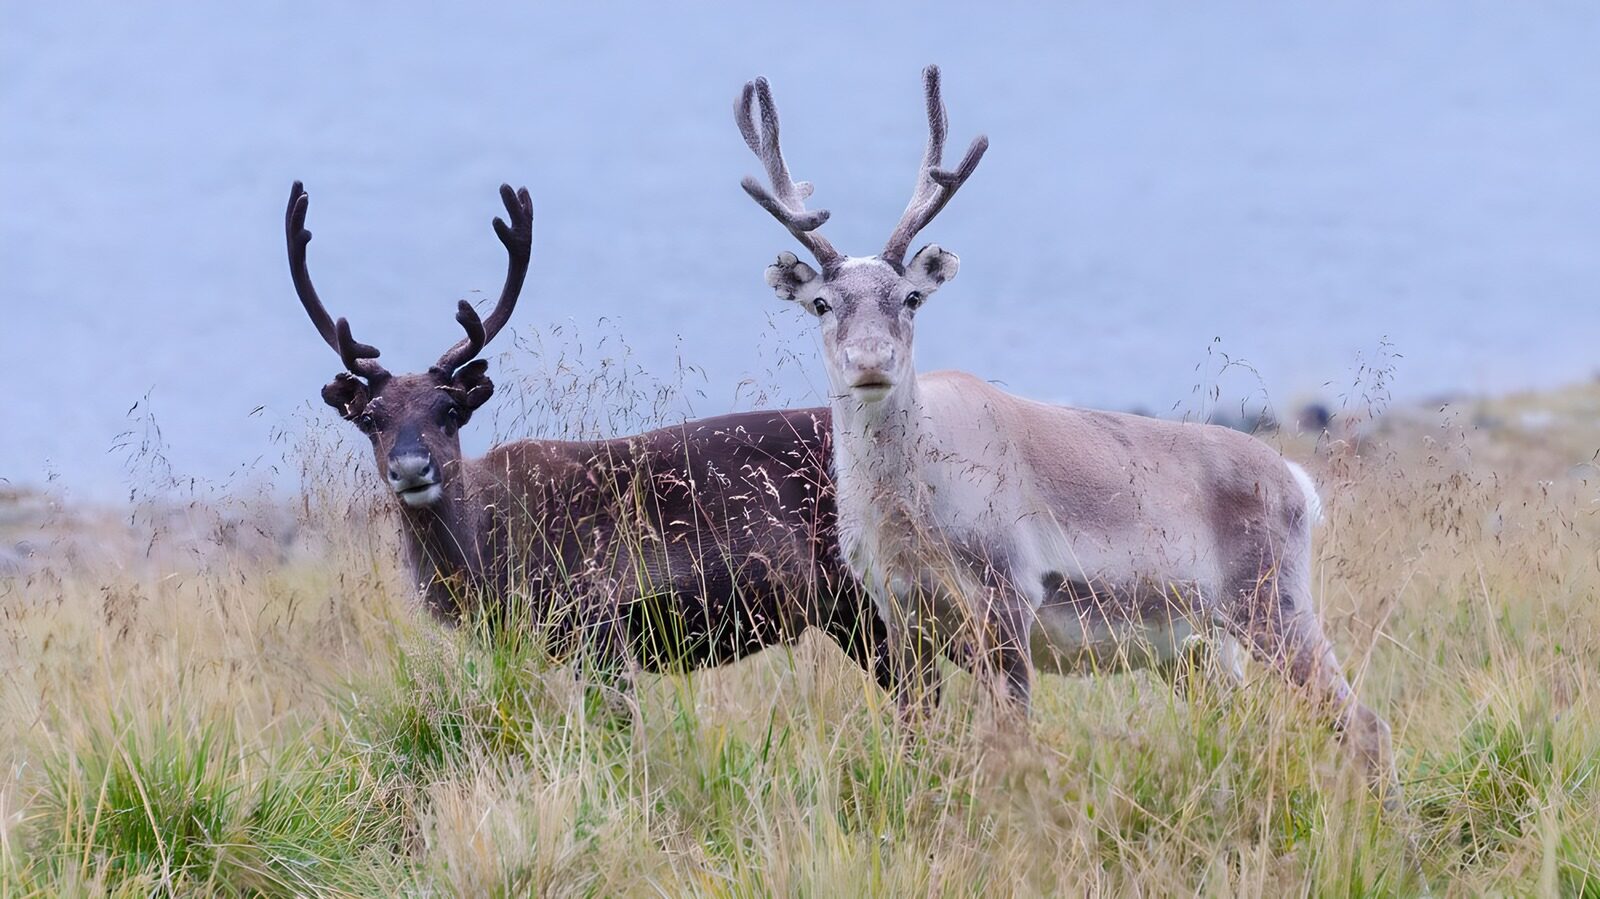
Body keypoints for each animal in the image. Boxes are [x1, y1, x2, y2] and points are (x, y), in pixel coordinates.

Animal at [734, 67, 1398, 800]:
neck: (911, 513)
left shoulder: (1009, 594)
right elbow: (914, 741)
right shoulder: (899, 612)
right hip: (1199, 648)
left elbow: (1012, 741)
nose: (871, 360)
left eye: (910, 297)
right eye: (821, 303)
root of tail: (1299, 484)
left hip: (1272, 603)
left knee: (1365, 723)